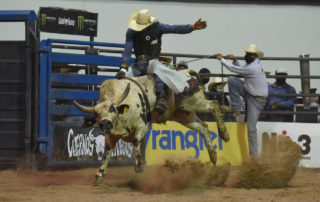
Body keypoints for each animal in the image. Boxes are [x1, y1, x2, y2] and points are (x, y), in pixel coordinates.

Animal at [74, 70, 230, 185]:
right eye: (97, 114)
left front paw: (139, 165)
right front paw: (99, 175)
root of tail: (185, 72)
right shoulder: (111, 136)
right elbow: (107, 153)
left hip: (195, 102)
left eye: (113, 108)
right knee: (203, 127)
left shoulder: (142, 125)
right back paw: (213, 156)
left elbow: (136, 141)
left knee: (215, 105)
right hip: (182, 114)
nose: (105, 123)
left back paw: (224, 134)